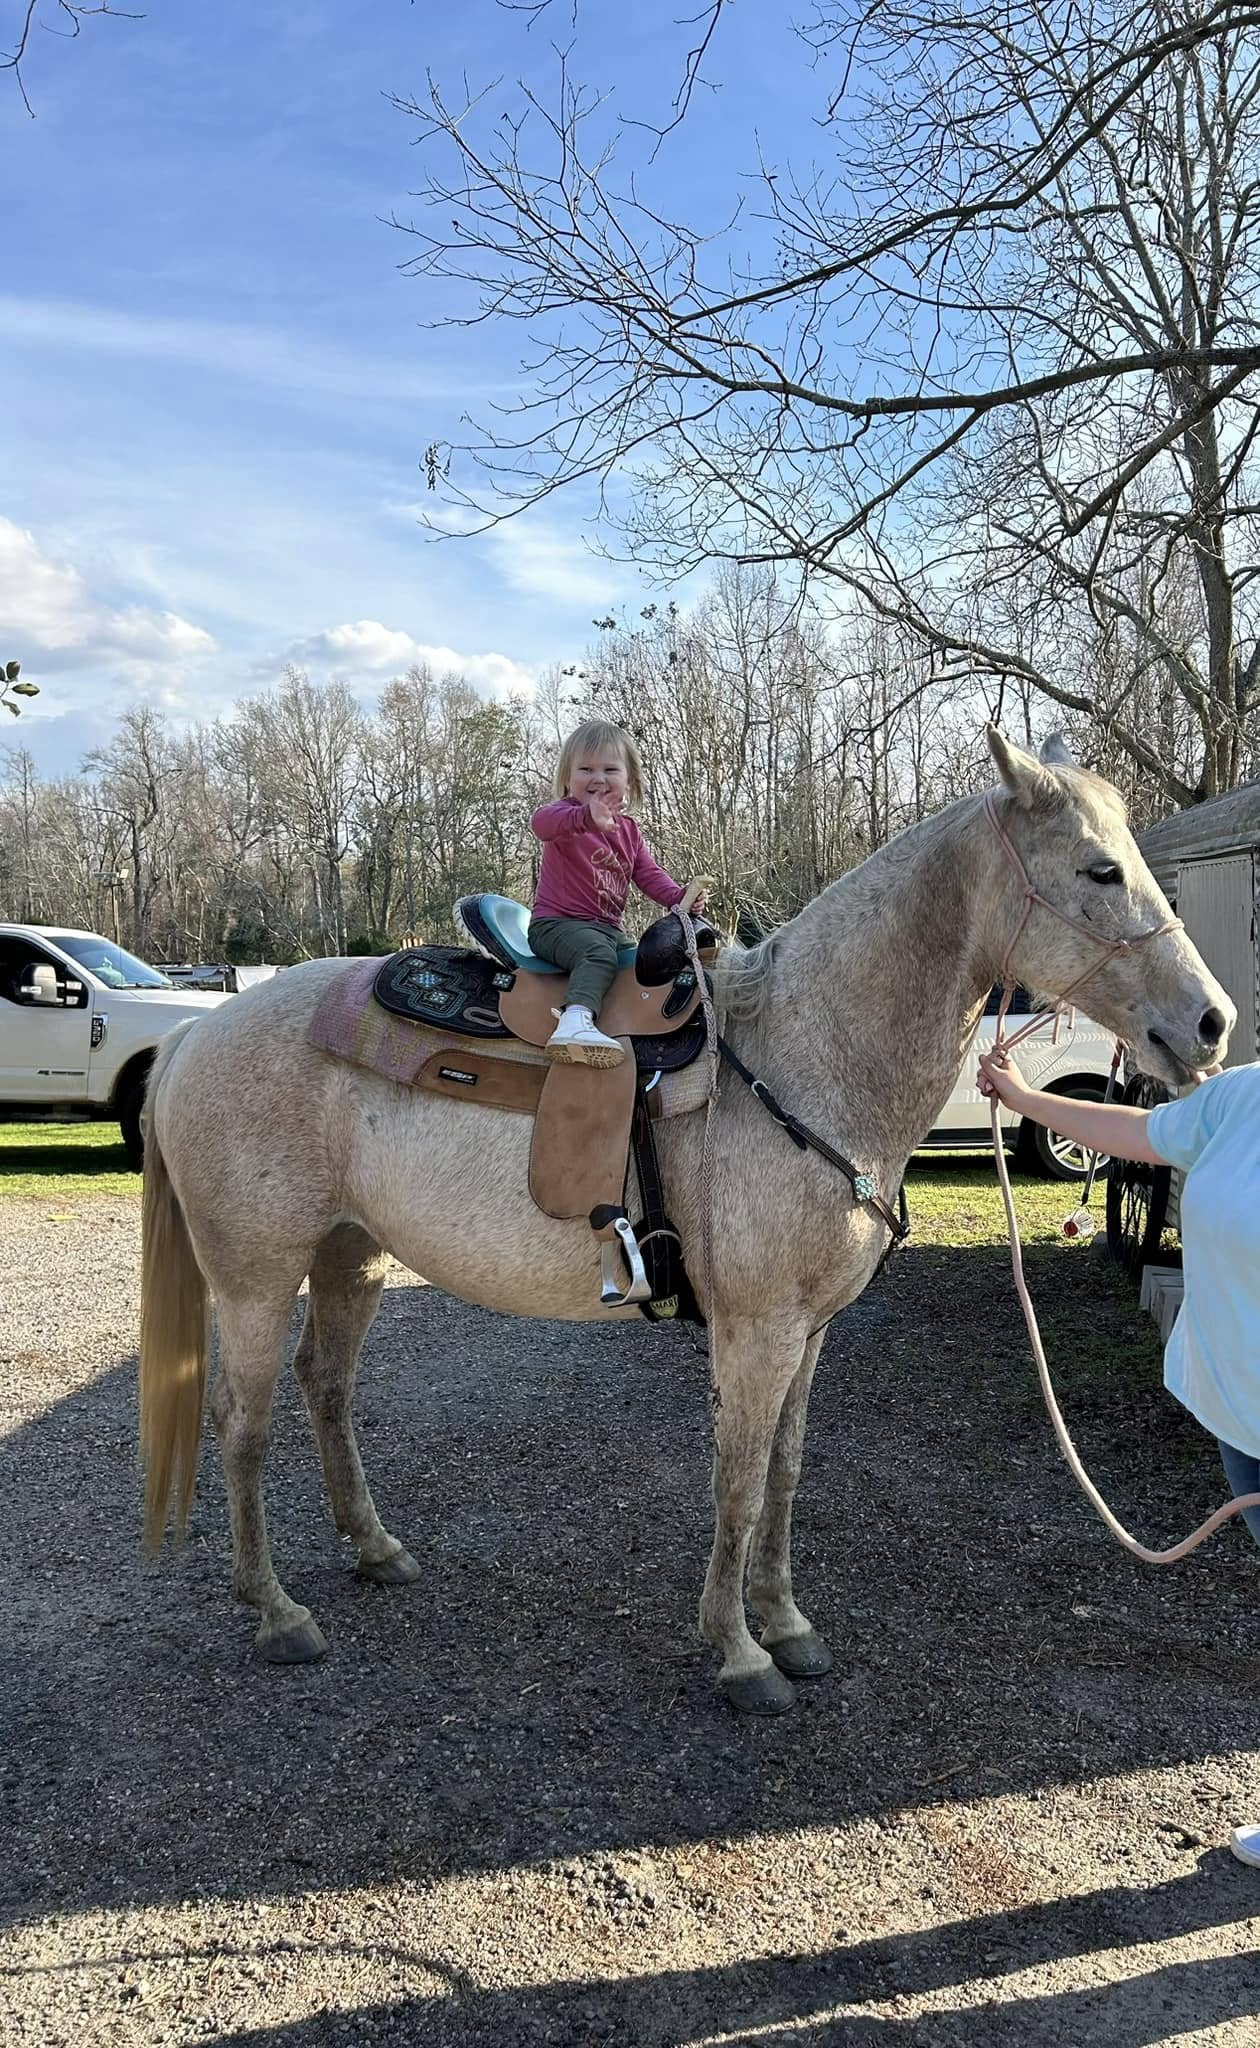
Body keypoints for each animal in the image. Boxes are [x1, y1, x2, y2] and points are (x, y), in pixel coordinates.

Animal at [138, 729, 1233, 1713]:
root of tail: (198, 1030)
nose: (1212, 1023)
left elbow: (784, 1474)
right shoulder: (755, 1331)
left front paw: (786, 1624)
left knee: (326, 1386)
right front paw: (741, 1654)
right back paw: (276, 1612)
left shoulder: (809, 1330)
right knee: (243, 1421)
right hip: (255, 1273)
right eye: (1099, 868)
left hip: (349, 1253)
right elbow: (738, 1483)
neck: (802, 1052)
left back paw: (374, 1548)